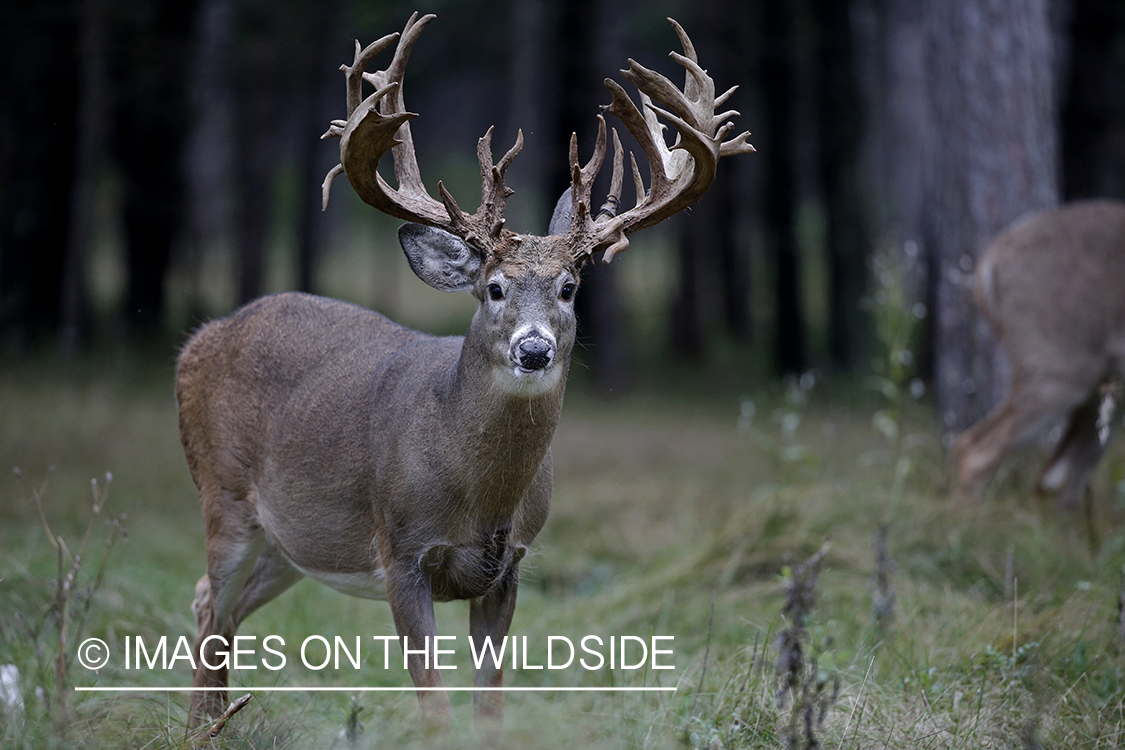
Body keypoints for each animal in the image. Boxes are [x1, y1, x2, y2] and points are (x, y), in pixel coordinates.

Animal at [177, 13, 756, 733]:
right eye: (494, 288)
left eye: (569, 288)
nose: (534, 350)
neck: (477, 494)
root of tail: (199, 341)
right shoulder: (401, 551)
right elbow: (434, 703)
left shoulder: (510, 564)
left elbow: (490, 700)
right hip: (223, 494)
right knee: (207, 597)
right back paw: (201, 727)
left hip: (292, 541)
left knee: (221, 607)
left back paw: (216, 722)